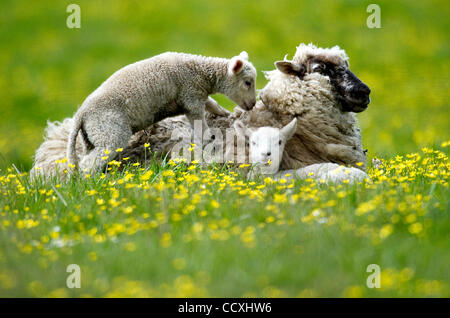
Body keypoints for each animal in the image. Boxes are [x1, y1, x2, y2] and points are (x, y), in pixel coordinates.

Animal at [66, 50, 256, 174]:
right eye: (247, 82)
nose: (253, 104)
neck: (200, 73)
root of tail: (81, 114)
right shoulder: (191, 96)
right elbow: (200, 122)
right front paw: (210, 137)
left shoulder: (195, 94)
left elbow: (212, 104)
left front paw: (224, 113)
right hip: (109, 132)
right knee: (89, 163)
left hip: (92, 136)